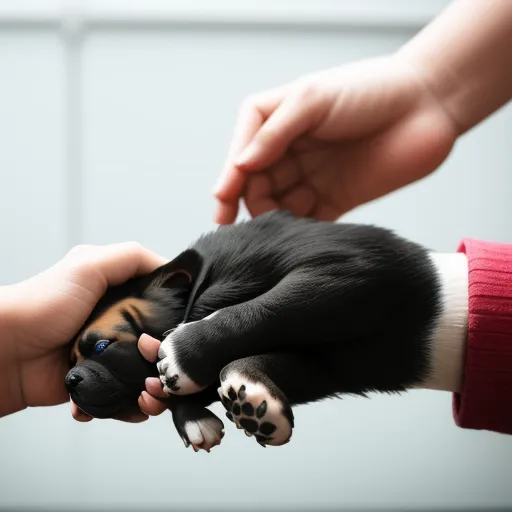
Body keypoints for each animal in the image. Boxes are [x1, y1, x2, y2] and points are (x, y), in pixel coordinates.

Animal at [67, 210, 468, 450]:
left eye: (101, 347)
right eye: (69, 361)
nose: (69, 379)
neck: (206, 282)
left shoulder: (348, 270)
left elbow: (266, 309)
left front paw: (182, 355)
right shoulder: (325, 364)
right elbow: (276, 360)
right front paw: (223, 410)